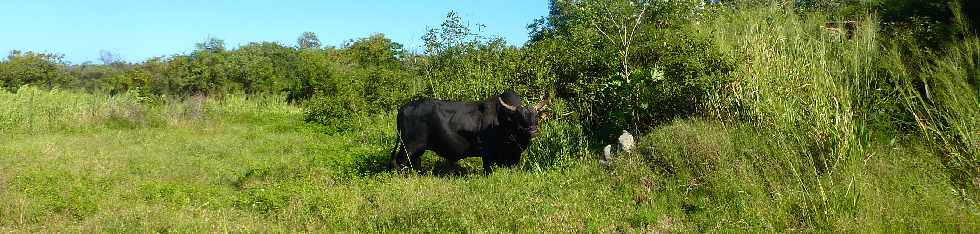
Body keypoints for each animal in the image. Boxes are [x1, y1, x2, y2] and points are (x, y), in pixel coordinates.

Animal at [392, 90, 552, 173]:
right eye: (519, 118)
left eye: (536, 117)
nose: (533, 132)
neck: (503, 122)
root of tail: (403, 108)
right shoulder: (487, 153)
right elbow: (488, 169)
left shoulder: (513, 156)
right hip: (410, 146)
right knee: (400, 162)